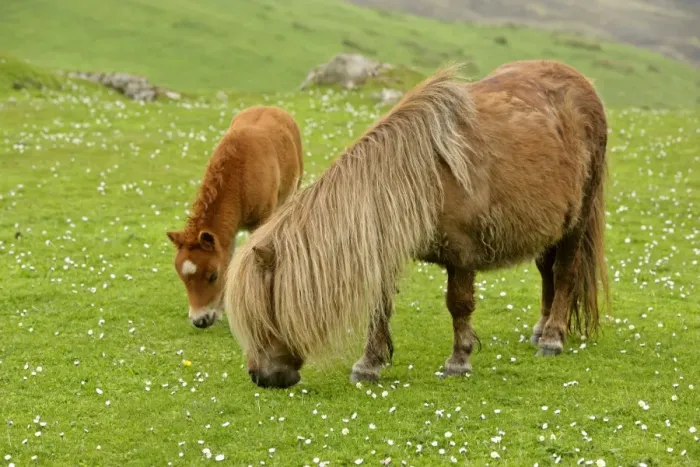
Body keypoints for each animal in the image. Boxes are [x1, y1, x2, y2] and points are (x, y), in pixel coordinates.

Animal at [167, 105, 303, 329]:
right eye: (182, 278)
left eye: (213, 275)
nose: (200, 321)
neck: (240, 175)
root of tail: (270, 107)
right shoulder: (227, 233)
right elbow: (229, 259)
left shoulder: (261, 220)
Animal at [224, 60, 610, 389]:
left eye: (263, 316)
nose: (260, 377)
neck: (423, 176)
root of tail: (583, 85)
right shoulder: (385, 248)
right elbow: (379, 308)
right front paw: (369, 364)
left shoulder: (462, 255)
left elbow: (459, 305)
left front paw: (458, 361)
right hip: (550, 228)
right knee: (546, 272)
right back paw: (541, 328)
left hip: (576, 222)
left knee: (564, 274)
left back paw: (552, 338)